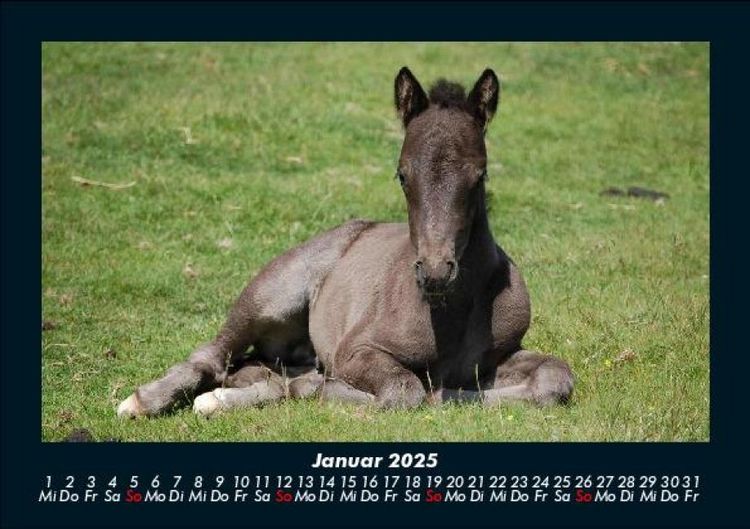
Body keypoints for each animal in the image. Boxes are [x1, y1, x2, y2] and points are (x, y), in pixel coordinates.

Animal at [117, 67, 574, 418]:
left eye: (480, 175)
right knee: (214, 354)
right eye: (402, 174)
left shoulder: (499, 355)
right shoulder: (355, 352)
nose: (435, 272)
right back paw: (143, 402)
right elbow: (403, 391)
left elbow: (555, 378)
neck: (449, 313)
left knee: (259, 369)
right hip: (272, 294)